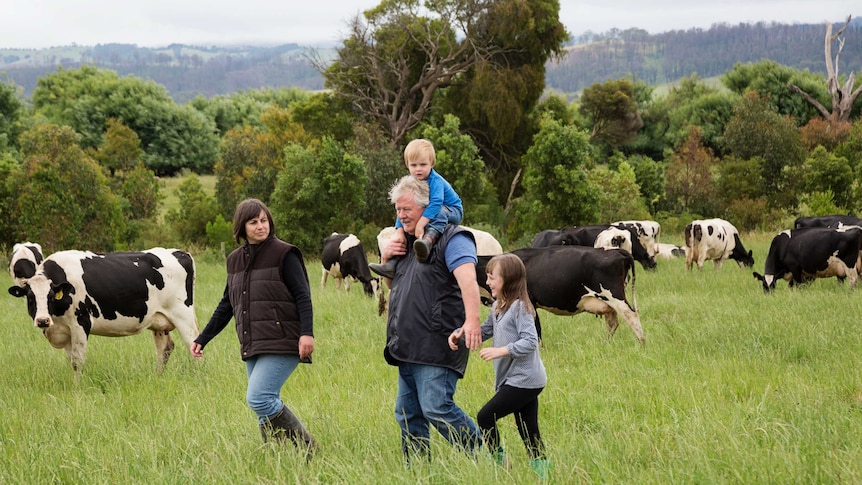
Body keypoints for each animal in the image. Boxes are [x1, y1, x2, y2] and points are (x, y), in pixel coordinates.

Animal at [8, 248, 199, 380]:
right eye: (30, 298)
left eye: (50, 296)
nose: (42, 320)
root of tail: (180, 252)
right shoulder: (64, 329)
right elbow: (71, 360)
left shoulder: (80, 323)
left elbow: (77, 361)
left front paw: (77, 387)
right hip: (159, 321)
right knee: (165, 348)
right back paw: (157, 376)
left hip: (183, 314)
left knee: (194, 344)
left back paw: (198, 373)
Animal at [476, 246, 644, 344]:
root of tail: (615, 251)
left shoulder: (528, 301)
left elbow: (536, 328)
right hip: (608, 301)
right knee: (612, 323)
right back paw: (606, 344)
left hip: (615, 296)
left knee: (632, 316)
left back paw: (642, 344)